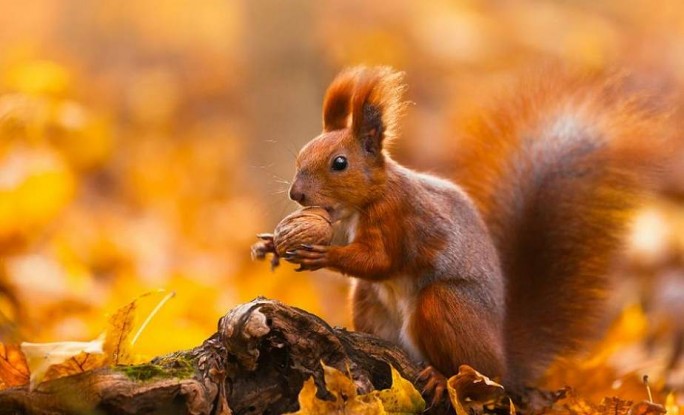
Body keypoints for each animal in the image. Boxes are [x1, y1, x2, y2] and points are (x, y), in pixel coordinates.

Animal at [254, 66, 664, 404]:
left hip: (445, 306)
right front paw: (272, 244)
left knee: (469, 373)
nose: (297, 195)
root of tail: (504, 362)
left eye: (340, 163)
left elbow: (380, 260)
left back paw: (441, 378)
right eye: (302, 154)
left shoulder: (399, 217)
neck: (365, 202)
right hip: (369, 302)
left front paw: (322, 255)